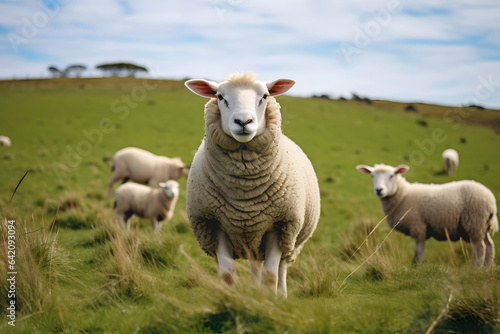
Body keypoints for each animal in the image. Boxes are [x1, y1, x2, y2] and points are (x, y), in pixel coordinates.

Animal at [184, 72, 320, 296]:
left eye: (264, 96)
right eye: (220, 96)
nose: (243, 121)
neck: (245, 197)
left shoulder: (280, 226)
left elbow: (270, 277)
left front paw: (269, 299)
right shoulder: (213, 225)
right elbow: (228, 276)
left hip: (289, 239)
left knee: (281, 268)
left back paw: (282, 295)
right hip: (252, 242)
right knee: (255, 265)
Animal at [356, 163, 496, 270]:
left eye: (391, 176)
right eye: (372, 176)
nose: (379, 190)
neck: (403, 196)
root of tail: (491, 200)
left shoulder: (418, 227)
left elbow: (418, 251)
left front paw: (418, 267)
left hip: (475, 222)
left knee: (480, 248)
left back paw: (477, 269)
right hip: (482, 225)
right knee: (490, 245)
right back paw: (487, 269)